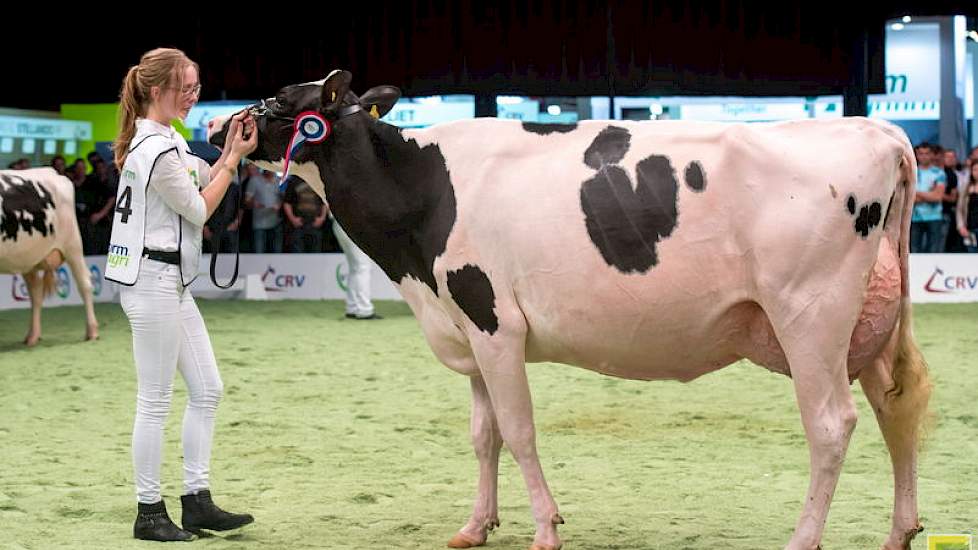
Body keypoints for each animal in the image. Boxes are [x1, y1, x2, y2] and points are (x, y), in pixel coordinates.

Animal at [0, 170, 97, 348]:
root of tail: (53, 172)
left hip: (72, 244)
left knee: (85, 284)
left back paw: (92, 331)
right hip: (28, 258)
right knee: (36, 293)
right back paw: (32, 337)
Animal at [208, 72, 932, 550]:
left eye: (279, 102)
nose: (216, 125)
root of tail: (876, 128)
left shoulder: (493, 319)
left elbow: (519, 431)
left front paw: (545, 528)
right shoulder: (469, 328)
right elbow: (484, 434)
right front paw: (475, 525)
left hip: (809, 313)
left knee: (831, 425)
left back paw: (803, 538)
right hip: (869, 322)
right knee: (897, 406)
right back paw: (901, 530)